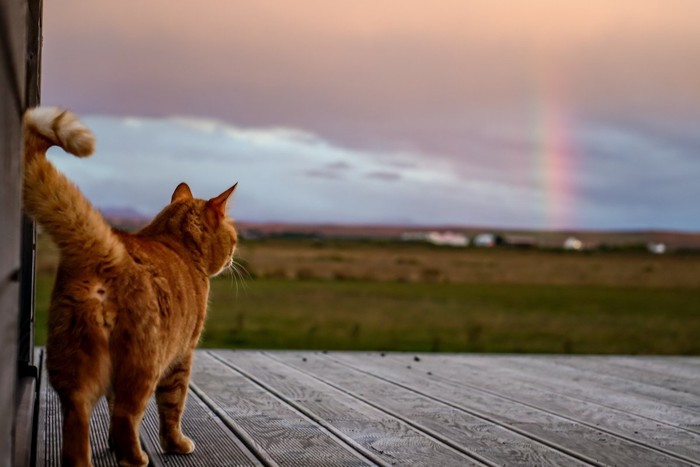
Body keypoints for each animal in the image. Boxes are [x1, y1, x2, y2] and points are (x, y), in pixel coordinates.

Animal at [22, 107, 238, 467]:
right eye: (233, 237)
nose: (235, 253)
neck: (175, 243)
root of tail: (107, 251)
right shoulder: (183, 355)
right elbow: (172, 407)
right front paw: (176, 444)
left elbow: (110, 409)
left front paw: (110, 443)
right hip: (145, 363)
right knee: (128, 413)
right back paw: (136, 458)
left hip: (74, 362)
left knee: (78, 414)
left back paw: (85, 459)